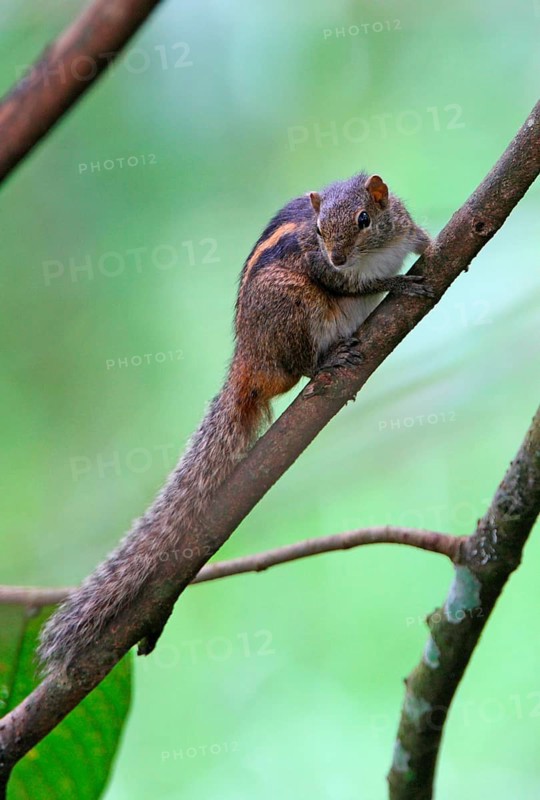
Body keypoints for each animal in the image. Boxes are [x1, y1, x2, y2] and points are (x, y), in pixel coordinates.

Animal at [38, 171, 431, 674]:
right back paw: (327, 360)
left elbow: (414, 237)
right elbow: (356, 286)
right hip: (291, 306)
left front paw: (427, 244)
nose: (339, 257)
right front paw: (397, 283)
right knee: (300, 363)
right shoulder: (321, 270)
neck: (369, 253)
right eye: (319, 231)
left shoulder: (398, 225)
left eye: (364, 218)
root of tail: (246, 358)